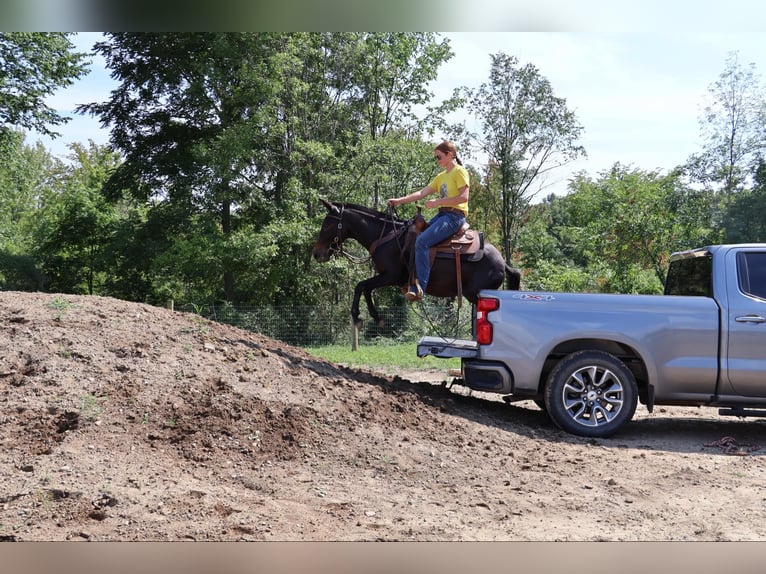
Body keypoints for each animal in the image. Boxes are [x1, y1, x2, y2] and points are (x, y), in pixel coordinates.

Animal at [312, 201, 520, 328]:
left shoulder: (392, 276)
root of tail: (502, 262)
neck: (386, 236)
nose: (317, 253)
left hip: (476, 295)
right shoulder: (388, 277)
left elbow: (361, 286)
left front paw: (359, 315)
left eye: (327, 225)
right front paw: (375, 317)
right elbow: (365, 288)